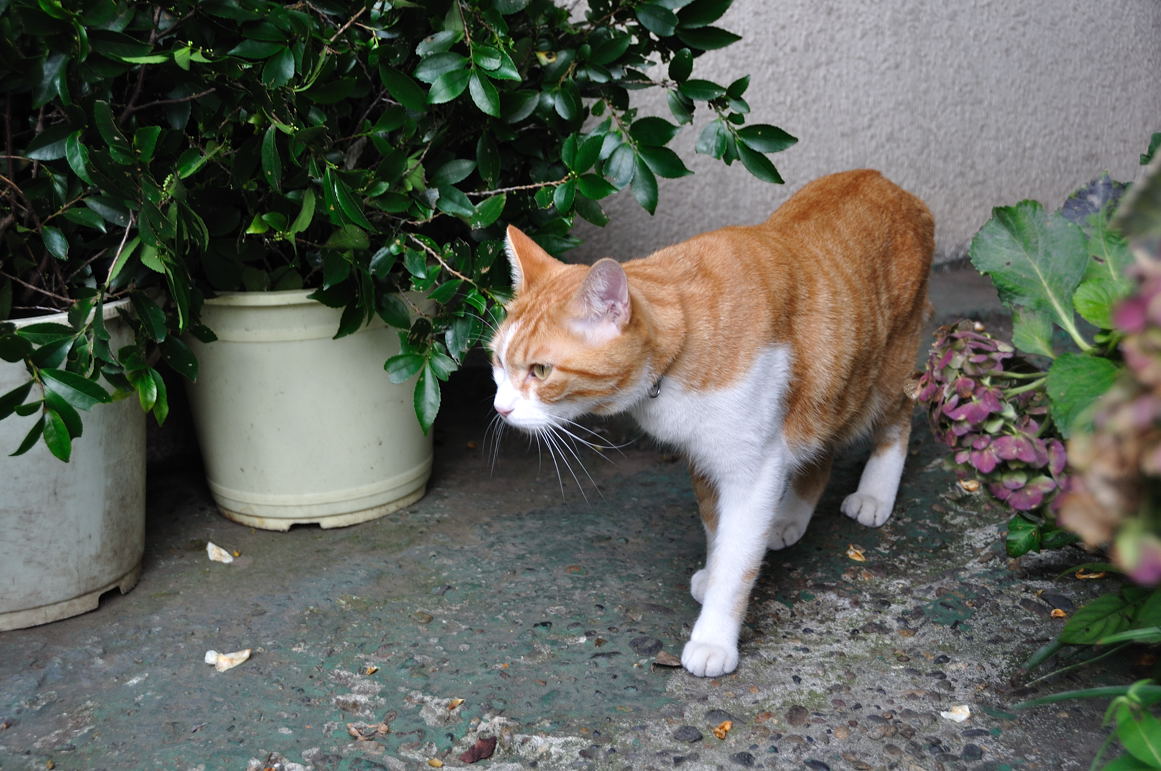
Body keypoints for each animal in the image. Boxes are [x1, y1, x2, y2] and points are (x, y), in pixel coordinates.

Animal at [492, 170, 933, 673]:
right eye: (498, 362)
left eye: (540, 371)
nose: (500, 408)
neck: (682, 345)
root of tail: (884, 181)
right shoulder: (701, 456)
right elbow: (716, 528)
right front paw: (713, 567)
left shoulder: (752, 470)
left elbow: (737, 559)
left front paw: (714, 637)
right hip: (830, 386)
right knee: (817, 449)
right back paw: (787, 518)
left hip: (884, 373)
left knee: (898, 420)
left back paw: (874, 493)